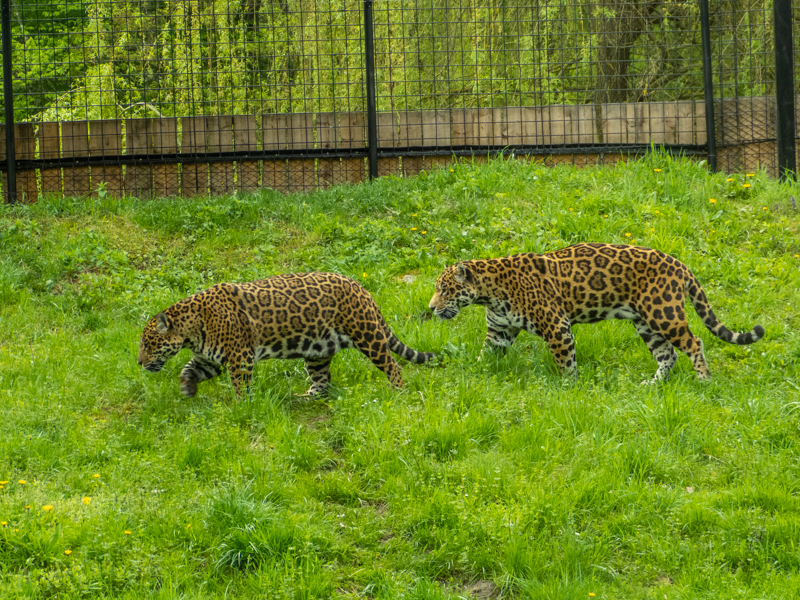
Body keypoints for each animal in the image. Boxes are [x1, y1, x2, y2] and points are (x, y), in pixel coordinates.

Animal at [138, 272, 435, 397]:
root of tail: (361, 287)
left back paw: (398, 392)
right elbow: (188, 369)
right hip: (318, 351)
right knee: (322, 382)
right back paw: (306, 396)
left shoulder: (240, 357)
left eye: (148, 344)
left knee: (393, 364)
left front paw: (241, 406)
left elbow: (239, 386)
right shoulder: (208, 359)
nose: (139, 363)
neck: (192, 329)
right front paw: (187, 388)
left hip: (367, 334)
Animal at [429, 243, 764, 382]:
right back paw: (652, 385)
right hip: (645, 322)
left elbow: (566, 363)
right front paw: (472, 376)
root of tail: (679, 263)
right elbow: (484, 356)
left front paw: (569, 388)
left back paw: (704, 379)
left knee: (694, 343)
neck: (489, 292)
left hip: (663, 313)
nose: (431, 308)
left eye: (444, 289)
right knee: (667, 354)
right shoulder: (499, 332)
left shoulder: (557, 327)